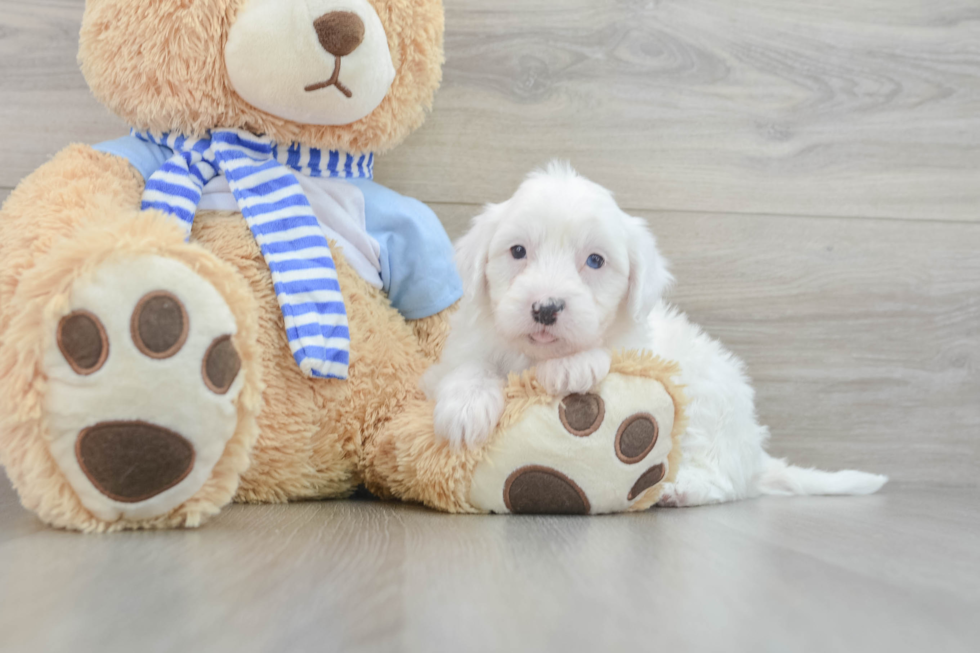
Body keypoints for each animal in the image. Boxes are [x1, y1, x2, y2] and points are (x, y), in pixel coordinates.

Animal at [424, 162, 888, 504]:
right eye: (517, 251)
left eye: (595, 261)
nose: (546, 308)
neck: (534, 356)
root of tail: (755, 456)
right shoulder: (465, 347)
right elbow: (468, 367)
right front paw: (466, 408)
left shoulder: (636, 349)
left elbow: (605, 353)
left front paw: (571, 367)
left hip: (707, 407)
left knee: (723, 479)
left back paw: (681, 489)